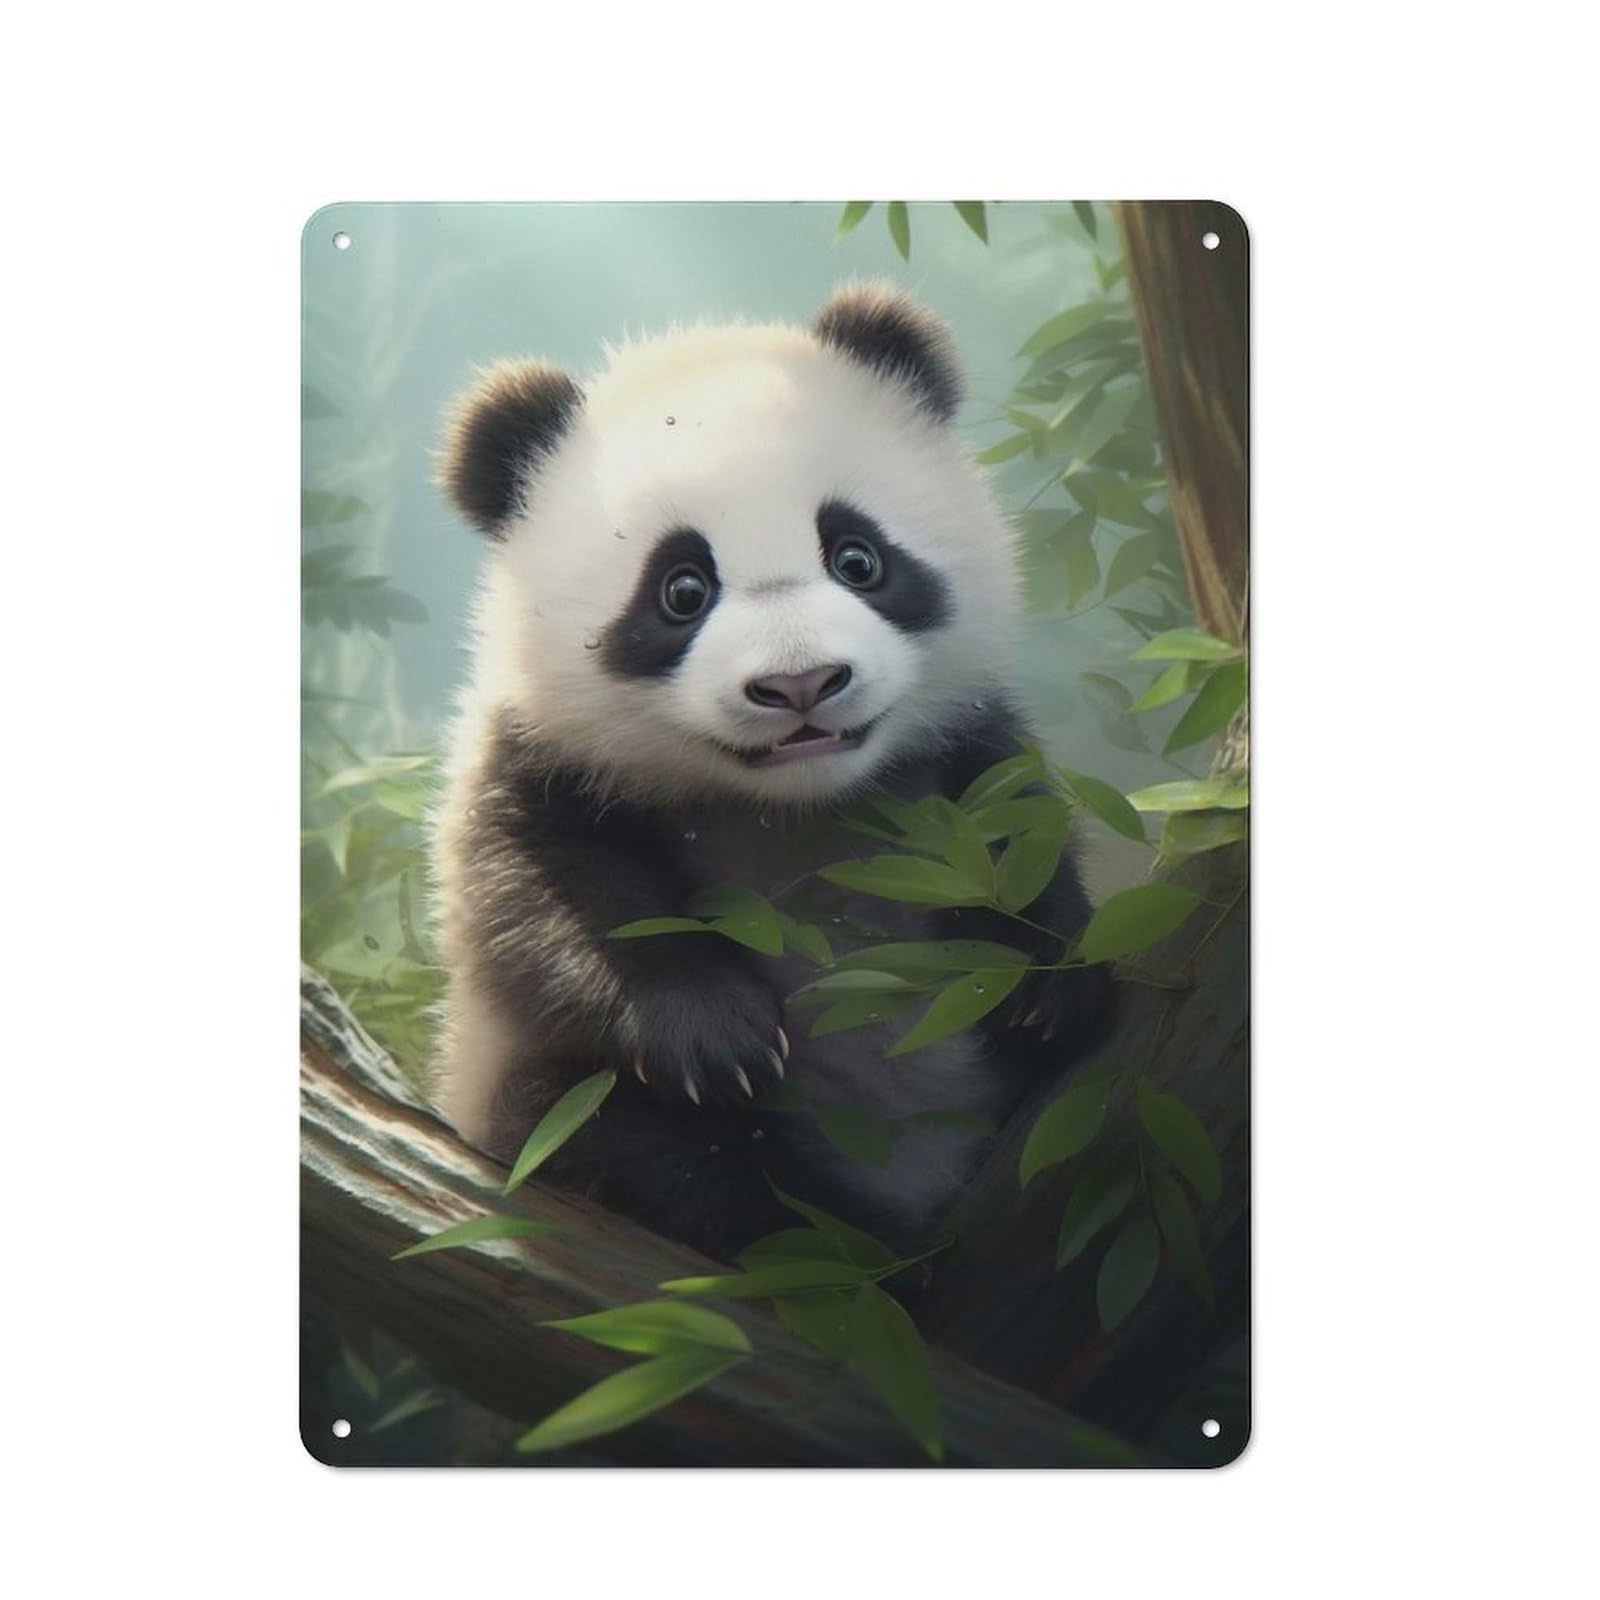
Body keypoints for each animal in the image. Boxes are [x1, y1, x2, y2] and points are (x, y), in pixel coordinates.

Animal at [429, 284, 1109, 1261]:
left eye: (857, 557)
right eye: (682, 589)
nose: (802, 685)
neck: (792, 810)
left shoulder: (955, 754)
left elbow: (1017, 831)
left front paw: (1043, 984)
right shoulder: (535, 759)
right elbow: (527, 905)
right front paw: (715, 1037)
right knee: (632, 1144)